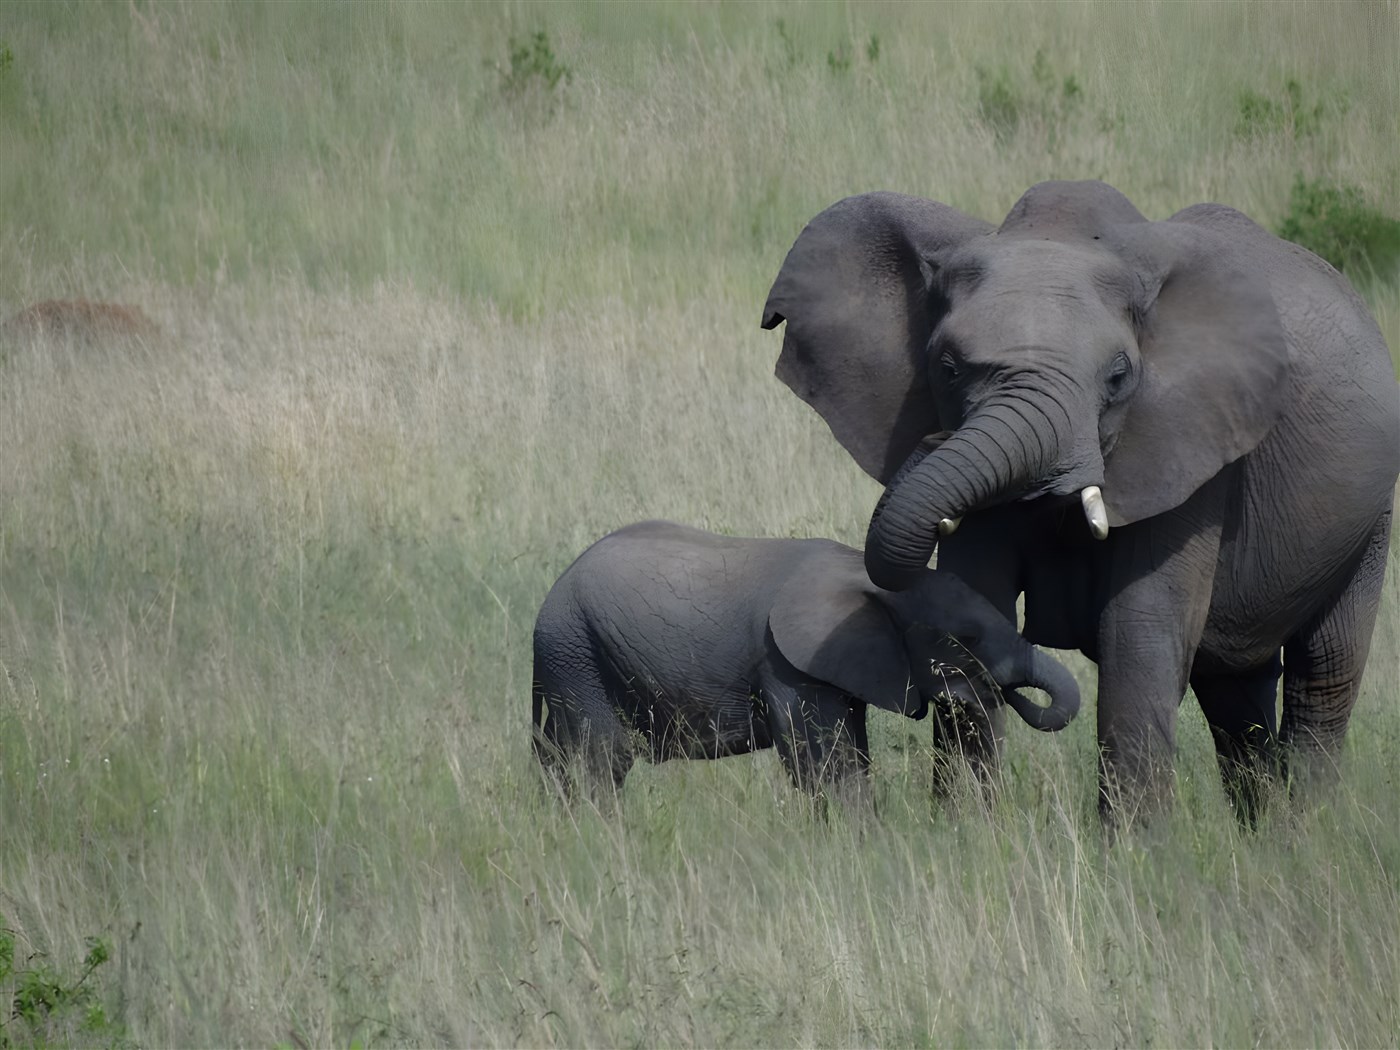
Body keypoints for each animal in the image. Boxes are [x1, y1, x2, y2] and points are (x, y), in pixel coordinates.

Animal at [531, 521, 1081, 801]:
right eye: (965, 638)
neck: (865, 579)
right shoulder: (785, 664)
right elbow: (826, 766)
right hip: (576, 654)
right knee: (602, 762)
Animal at [761, 180, 1399, 824]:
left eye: (1118, 377)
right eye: (946, 367)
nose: (931, 442)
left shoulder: (1193, 447)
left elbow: (1138, 636)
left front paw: (1137, 847)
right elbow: (974, 606)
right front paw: (966, 831)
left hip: (1370, 519)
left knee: (1325, 673)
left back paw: (1307, 828)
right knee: (1235, 691)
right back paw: (1267, 832)